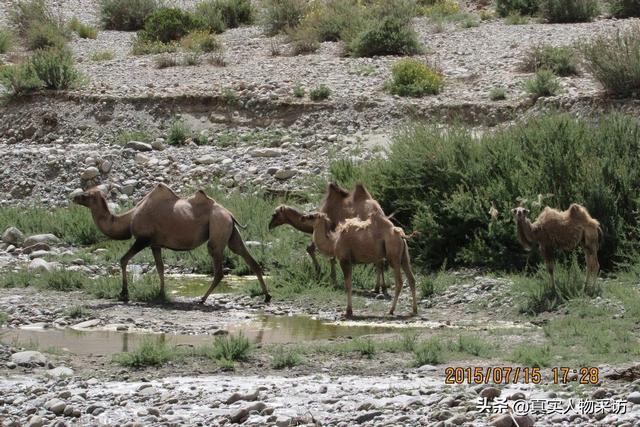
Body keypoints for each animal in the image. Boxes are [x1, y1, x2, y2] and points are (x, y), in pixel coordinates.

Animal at [74, 186, 270, 306]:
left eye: (86, 195)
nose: (74, 197)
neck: (129, 219)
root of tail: (229, 214)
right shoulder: (155, 244)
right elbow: (160, 268)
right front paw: (161, 294)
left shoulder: (143, 239)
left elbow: (123, 260)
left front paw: (124, 294)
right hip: (230, 231)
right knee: (247, 257)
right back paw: (267, 296)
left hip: (217, 228)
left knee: (219, 268)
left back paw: (202, 299)